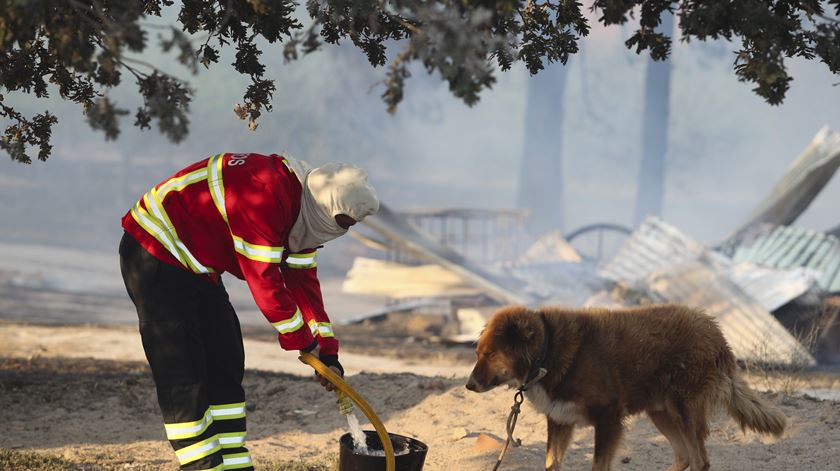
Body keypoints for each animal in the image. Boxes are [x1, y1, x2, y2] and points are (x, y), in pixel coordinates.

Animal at [466, 306, 788, 471]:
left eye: (490, 354)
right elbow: (551, 463)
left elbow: (598, 466)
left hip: (684, 411)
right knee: (684, 456)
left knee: (699, 461)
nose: (469, 385)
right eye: (478, 353)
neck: (548, 350)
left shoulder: (608, 419)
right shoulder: (559, 420)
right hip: (661, 413)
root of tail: (715, 332)